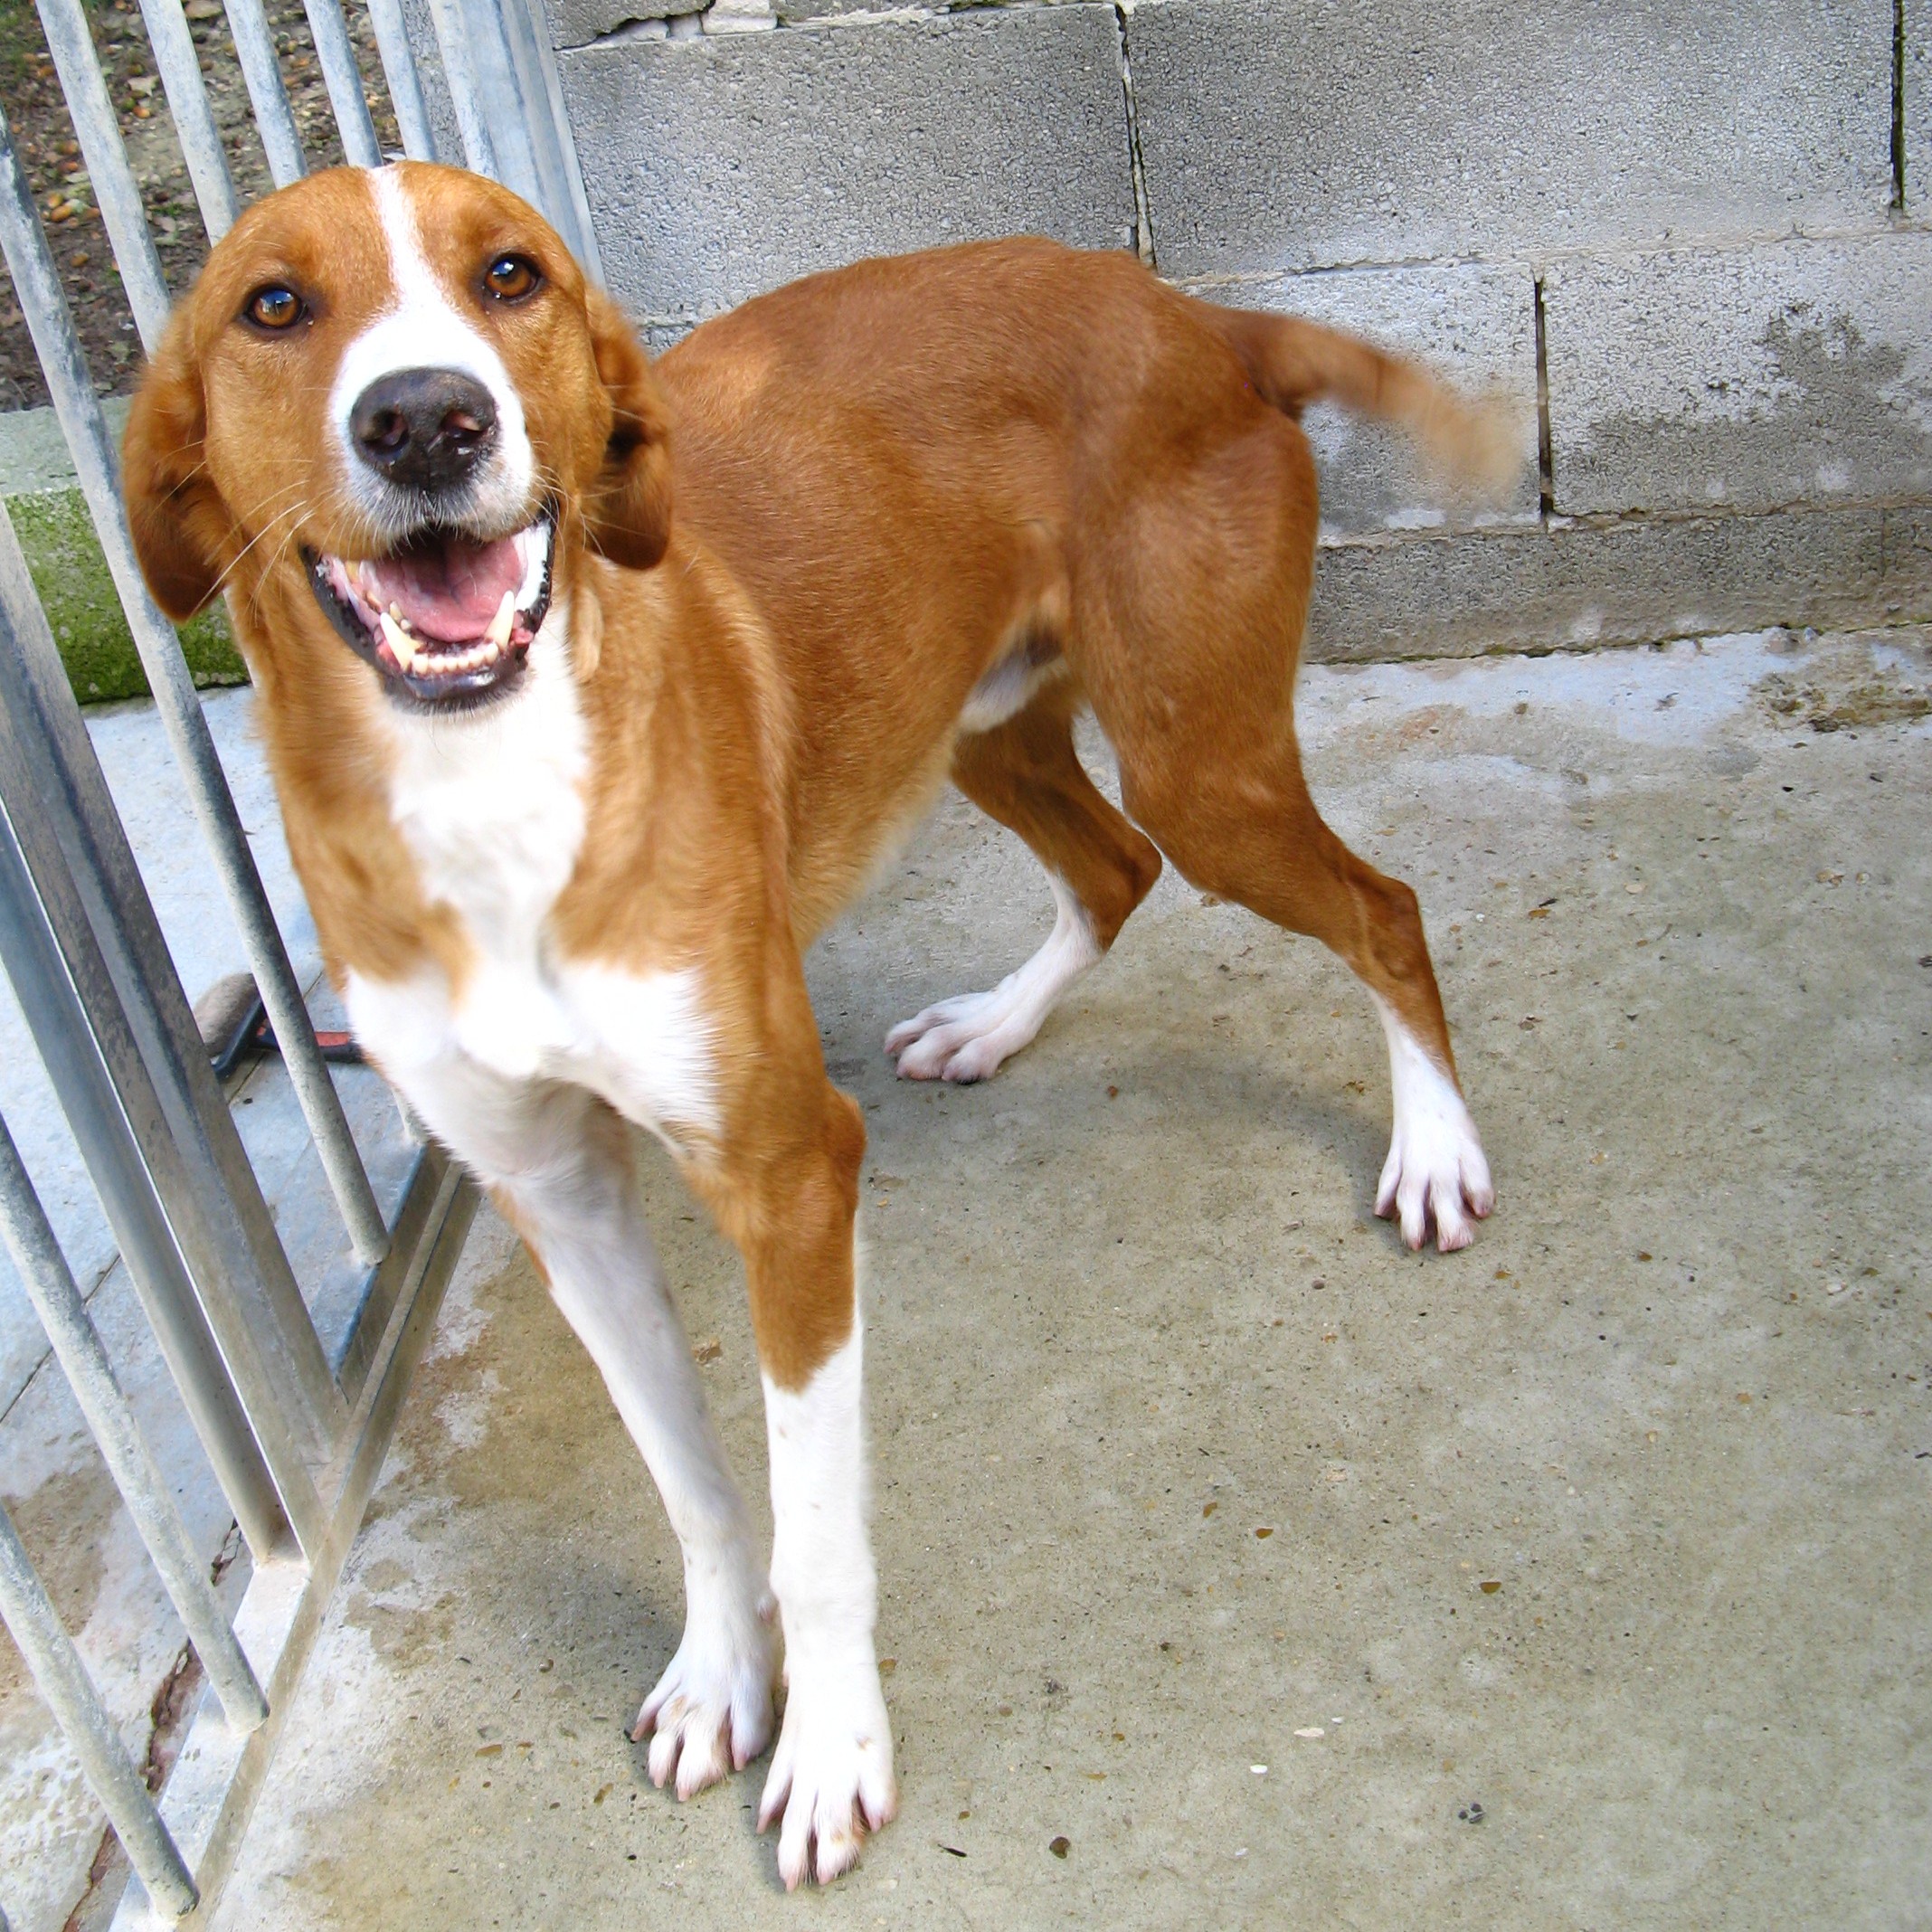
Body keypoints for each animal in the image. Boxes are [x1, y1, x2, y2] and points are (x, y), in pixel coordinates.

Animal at [124, 162, 1509, 1887]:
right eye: (272, 306)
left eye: (510, 274)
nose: (427, 419)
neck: (485, 784)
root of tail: (1195, 316)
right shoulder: (557, 1194)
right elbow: (698, 1491)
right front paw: (723, 1679)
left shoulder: (788, 1178)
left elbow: (814, 1521)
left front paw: (835, 1749)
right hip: (979, 722)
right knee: (1113, 871)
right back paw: (993, 1026)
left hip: (1206, 765)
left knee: (1377, 907)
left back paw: (1434, 1150)